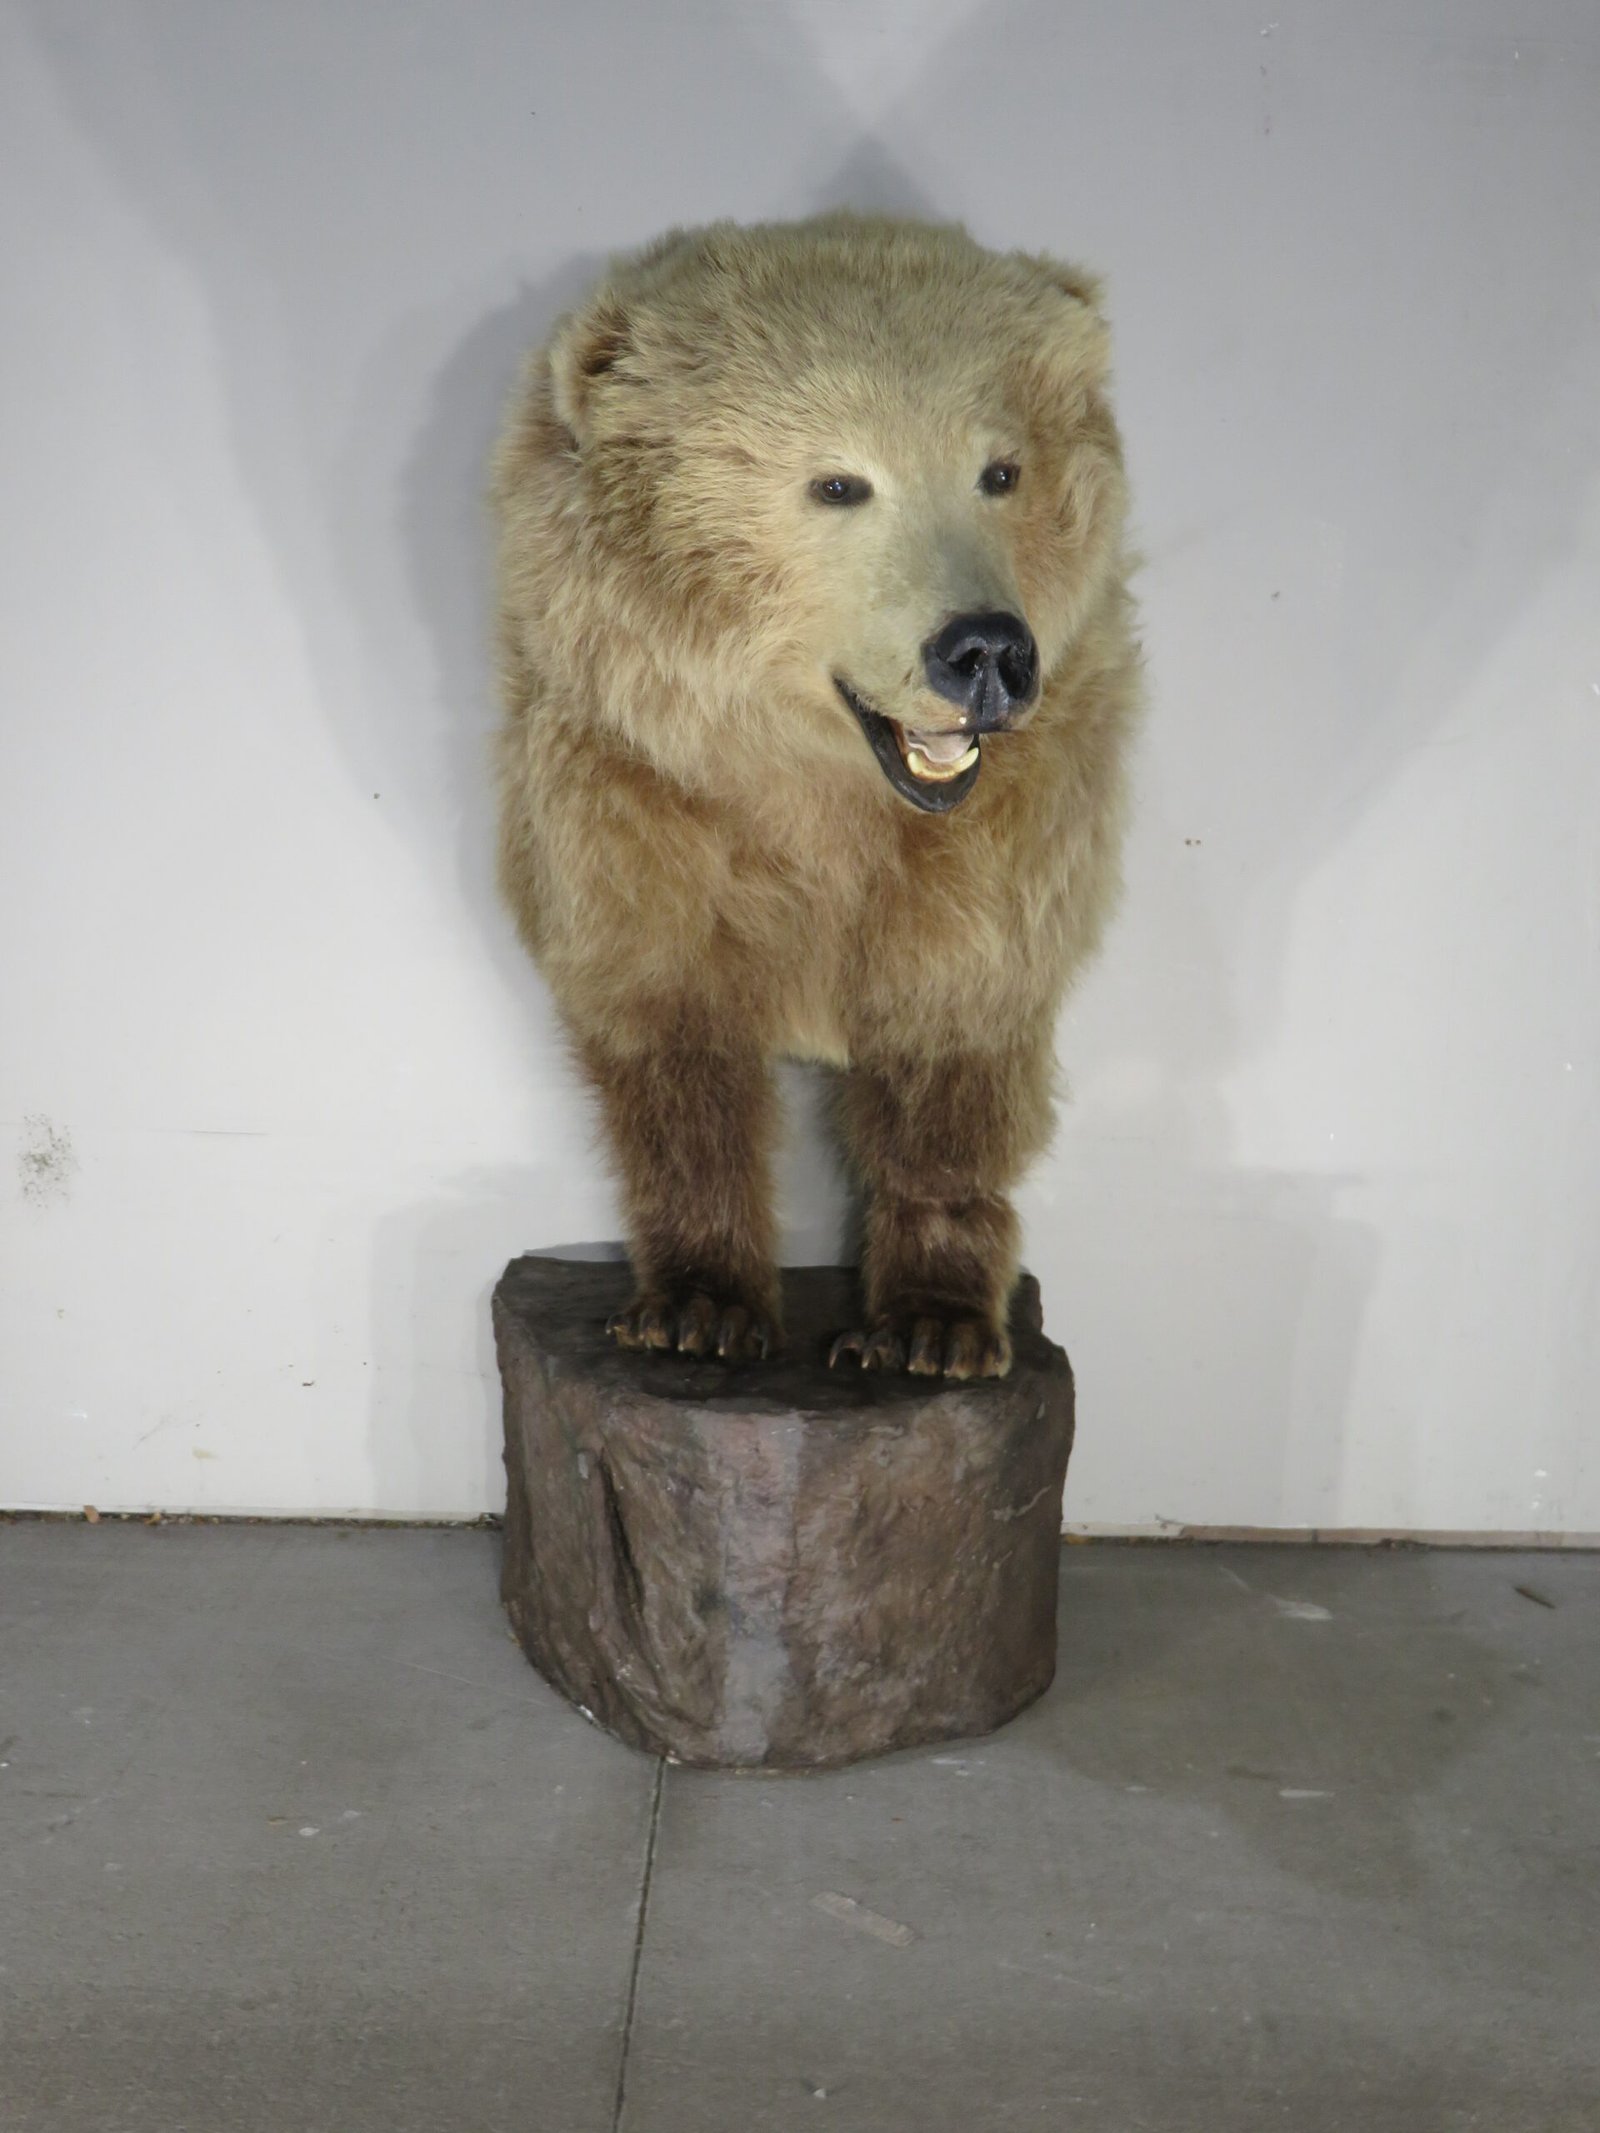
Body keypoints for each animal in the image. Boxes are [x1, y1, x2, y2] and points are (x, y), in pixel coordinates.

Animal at [492, 213, 1138, 1378]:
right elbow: (672, 1044)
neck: (819, 792)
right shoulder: (631, 802)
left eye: (1001, 469)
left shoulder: (1004, 846)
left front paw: (932, 1323)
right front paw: (696, 1307)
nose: (985, 649)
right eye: (838, 483)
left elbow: (953, 1048)